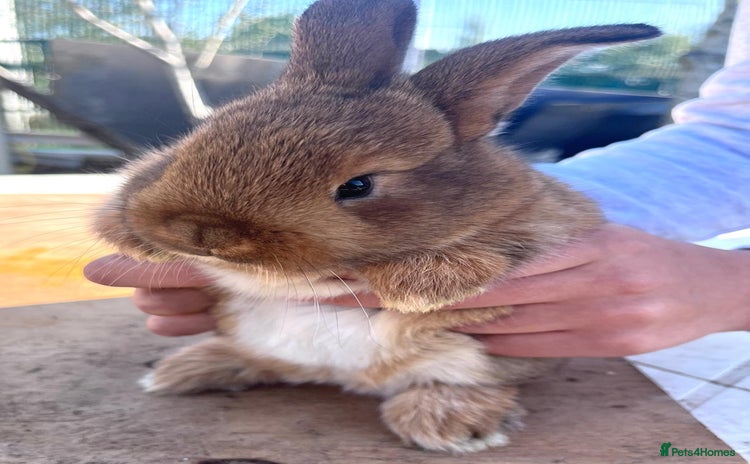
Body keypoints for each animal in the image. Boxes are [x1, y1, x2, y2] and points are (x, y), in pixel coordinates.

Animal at [93, 0, 660, 453]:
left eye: (359, 185)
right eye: (206, 132)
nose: (201, 235)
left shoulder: (549, 226)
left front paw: (419, 287)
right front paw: (124, 231)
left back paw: (449, 424)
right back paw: (187, 368)